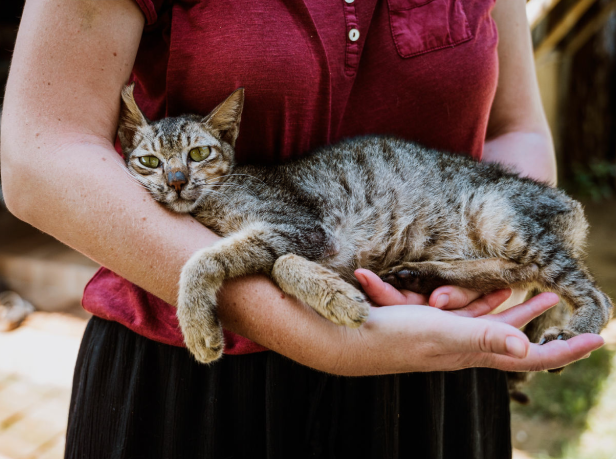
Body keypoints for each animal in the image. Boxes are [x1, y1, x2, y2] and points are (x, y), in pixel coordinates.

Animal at [116, 85, 612, 374]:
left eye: (198, 154)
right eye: (149, 161)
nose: (176, 181)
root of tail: (568, 202)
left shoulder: (305, 229)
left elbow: (221, 260)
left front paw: (198, 327)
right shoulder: (314, 241)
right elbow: (271, 262)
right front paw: (336, 292)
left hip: (497, 215)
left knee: (590, 293)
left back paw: (574, 329)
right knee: (513, 271)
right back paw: (422, 273)